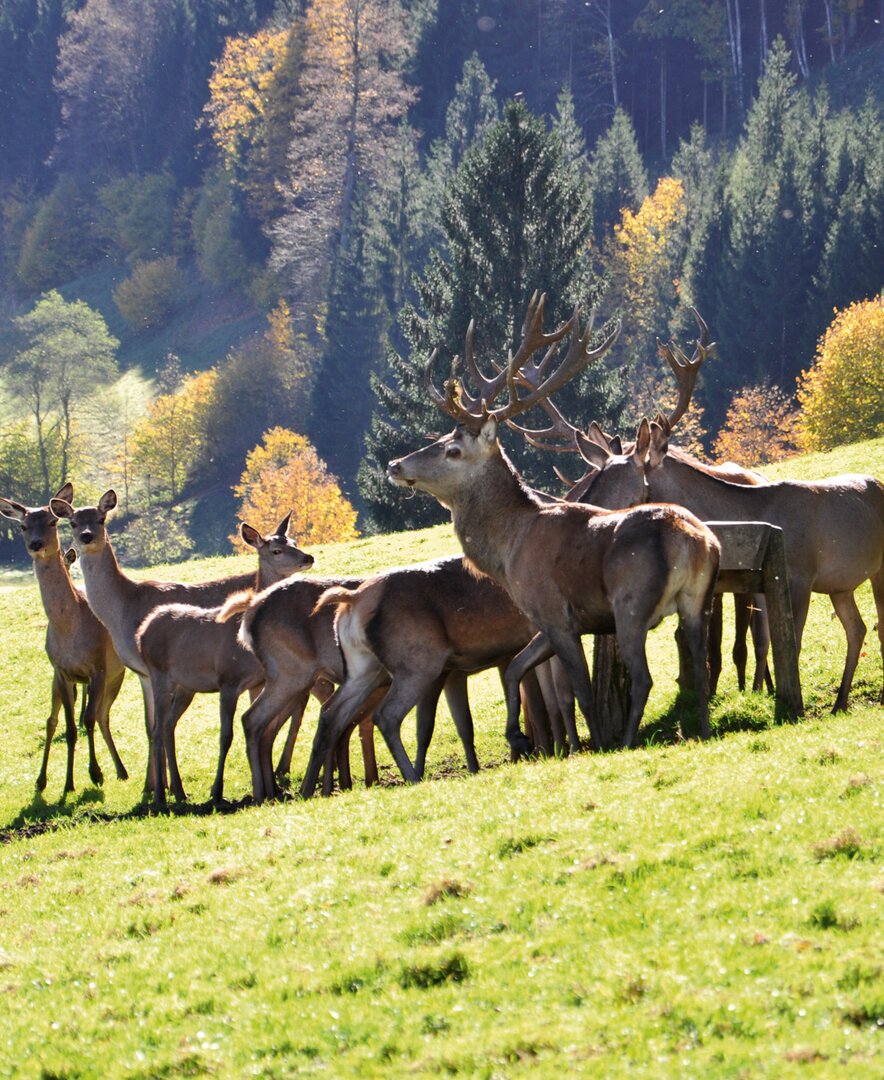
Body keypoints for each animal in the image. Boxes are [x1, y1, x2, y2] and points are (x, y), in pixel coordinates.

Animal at [0, 486, 127, 799]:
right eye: (22, 526)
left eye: (52, 522)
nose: (36, 544)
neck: (70, 630)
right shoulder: (60, 671)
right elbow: (68, 728)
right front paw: (68, 784)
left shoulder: (98, 667)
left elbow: (89, 720)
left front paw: (95, 774)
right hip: (60, 681)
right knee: (53, 720)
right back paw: (42, 780)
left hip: (117, 675)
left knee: (103, 716)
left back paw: (121, 770)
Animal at [136, 516, 317, 812]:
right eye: (276, 550)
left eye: (294, 541)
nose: (308, 557)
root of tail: (142, 632)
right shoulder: (228, 680)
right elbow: (226, 736)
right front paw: (217, 792)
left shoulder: (258, 681)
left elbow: (264, 729)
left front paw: (271, 788)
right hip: (158, 675)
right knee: (156, 729)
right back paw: (160, 797)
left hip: (186, 686)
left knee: (168, 726)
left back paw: (179, 792)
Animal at [386, 291, 721, 756]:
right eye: (438, 438)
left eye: (453, 449)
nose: (395, 465)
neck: (508, 552)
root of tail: (693, 543)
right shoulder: (548, 622)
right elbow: (516, 668)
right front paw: (517, 734)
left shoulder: (554, 611)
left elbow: (580, 691)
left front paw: (592, 744)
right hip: (696, 599)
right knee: (701, 666)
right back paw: (703, 732)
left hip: (631, 602)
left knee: (644, 678)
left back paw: (627, 741)